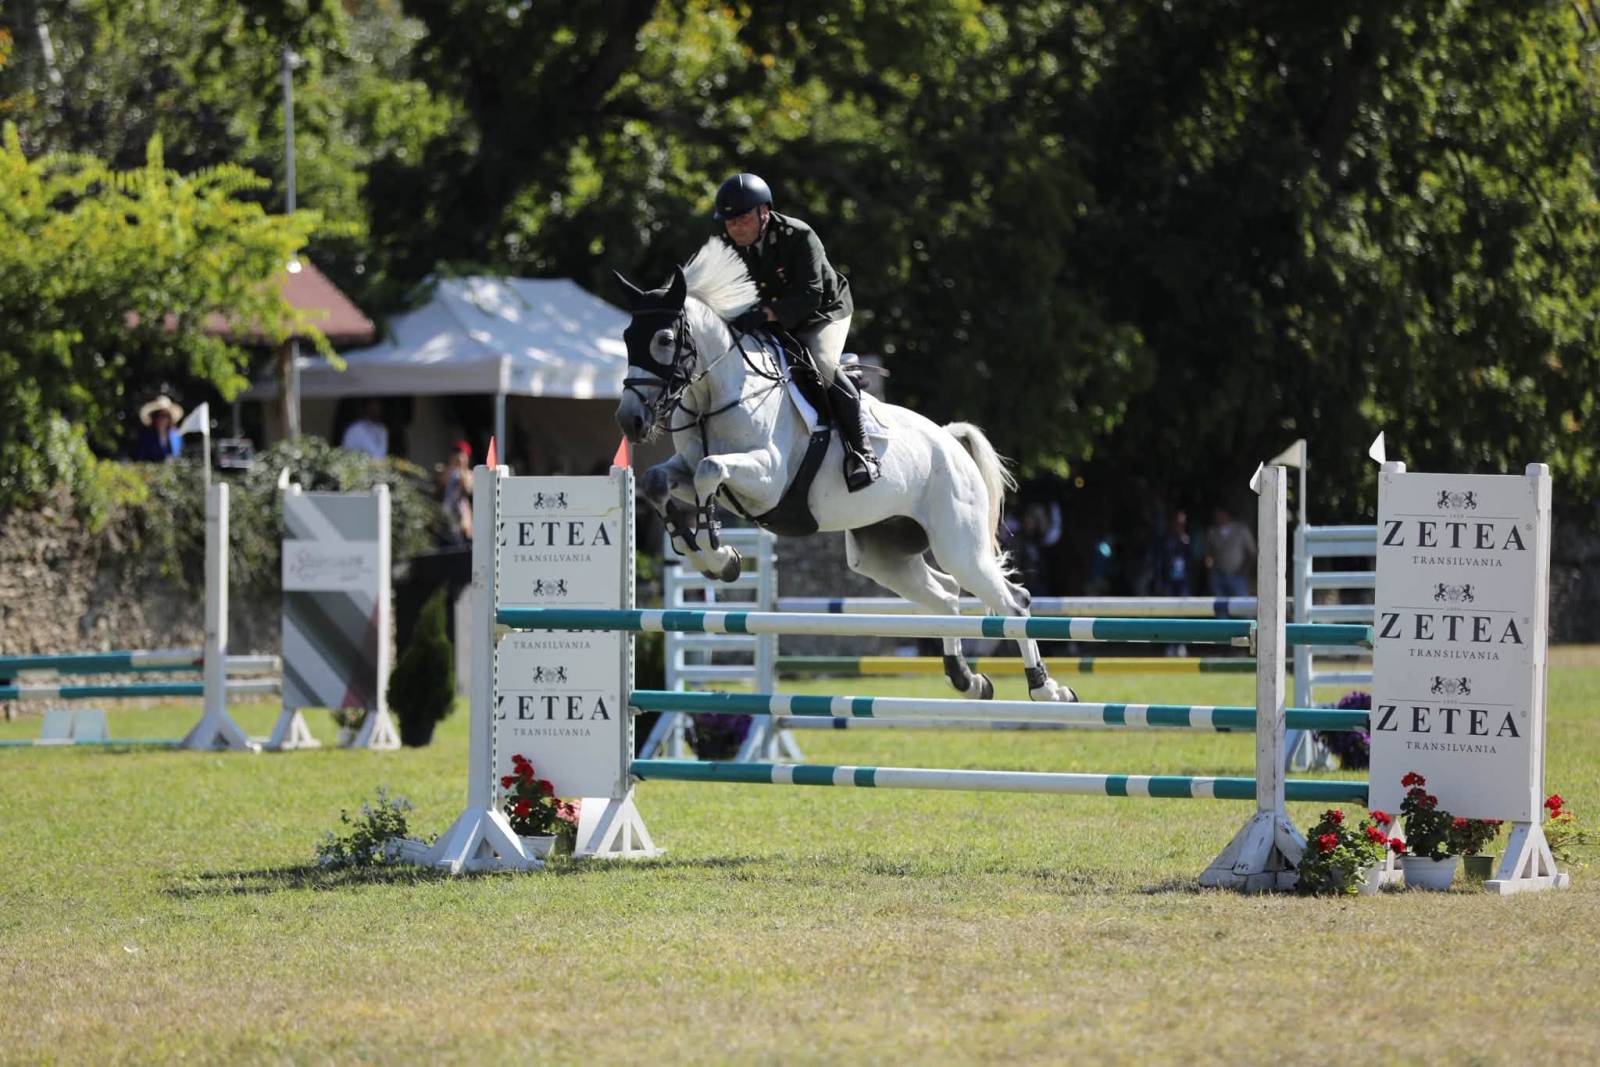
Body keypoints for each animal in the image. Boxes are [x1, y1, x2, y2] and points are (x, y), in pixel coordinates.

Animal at [612, 238, 1077, 703]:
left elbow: (710, 471)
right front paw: (699, 550)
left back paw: (1047, 689)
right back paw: (968, 679)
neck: (718, 395)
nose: (630, 422)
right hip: (883, 555)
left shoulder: (767, 480)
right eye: (627, 338)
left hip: (960, 546)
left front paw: (720, 557)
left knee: (1013, 601)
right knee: (946, 595)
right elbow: (659, 480)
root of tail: (949, 441)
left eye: (664, 339)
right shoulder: (688, 471)